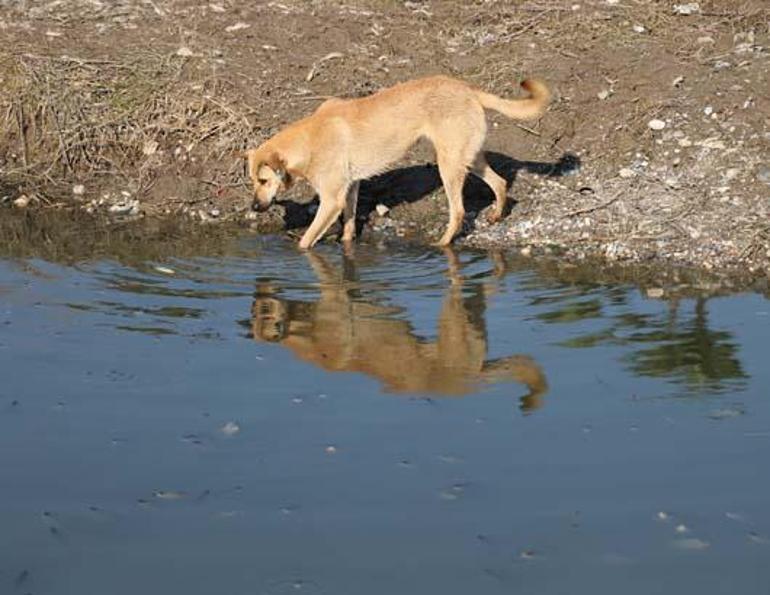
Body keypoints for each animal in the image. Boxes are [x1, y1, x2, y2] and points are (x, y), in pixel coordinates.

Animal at [243, 76, 548, 249]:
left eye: (264, 180)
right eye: (253, 181)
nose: (254, 207)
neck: (308, 140)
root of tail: (468, 89)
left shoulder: (331, 200)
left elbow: (305, 242)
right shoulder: (350, 190)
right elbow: (349, 226)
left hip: (448, 165)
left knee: (459, 212)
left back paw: (442, 244)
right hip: (468, 158)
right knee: (500, 182)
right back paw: (496, 214)